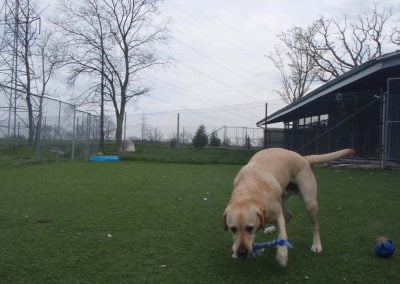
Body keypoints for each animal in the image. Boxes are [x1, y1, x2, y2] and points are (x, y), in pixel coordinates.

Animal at [222, 149, 354, 266]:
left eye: (250, 228)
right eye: (233, 229)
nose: (242, 253)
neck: (249, 187)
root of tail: (303, 158)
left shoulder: (276, 213)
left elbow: (283, 235)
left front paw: (282, 255)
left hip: (309, 202)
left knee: (314, 225)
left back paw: (316, 244)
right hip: (282, 198)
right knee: (288, 216)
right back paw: (271, 229)